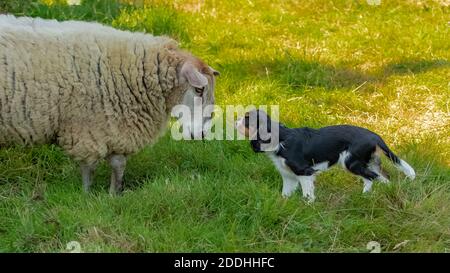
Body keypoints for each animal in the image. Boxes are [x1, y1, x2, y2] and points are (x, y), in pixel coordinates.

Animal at [0, 15, 218, 193]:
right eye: (199, 90)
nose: (203, 134)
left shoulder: (116, 126)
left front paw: (114, 194)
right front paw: (87, 196)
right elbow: (89, 168)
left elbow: (118, 163)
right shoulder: (87, 129)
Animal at [236, 109, 414, 201]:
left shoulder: (304, 171)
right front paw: (284, 204)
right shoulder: (288, 175)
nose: (235, 121)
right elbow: (285, 192)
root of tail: (375, 135)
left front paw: (307, 205)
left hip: (351, 162)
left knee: (372, 177)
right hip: (368, 162)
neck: (281, 137)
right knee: (381, 177)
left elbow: (307, 192)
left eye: (246, 120)